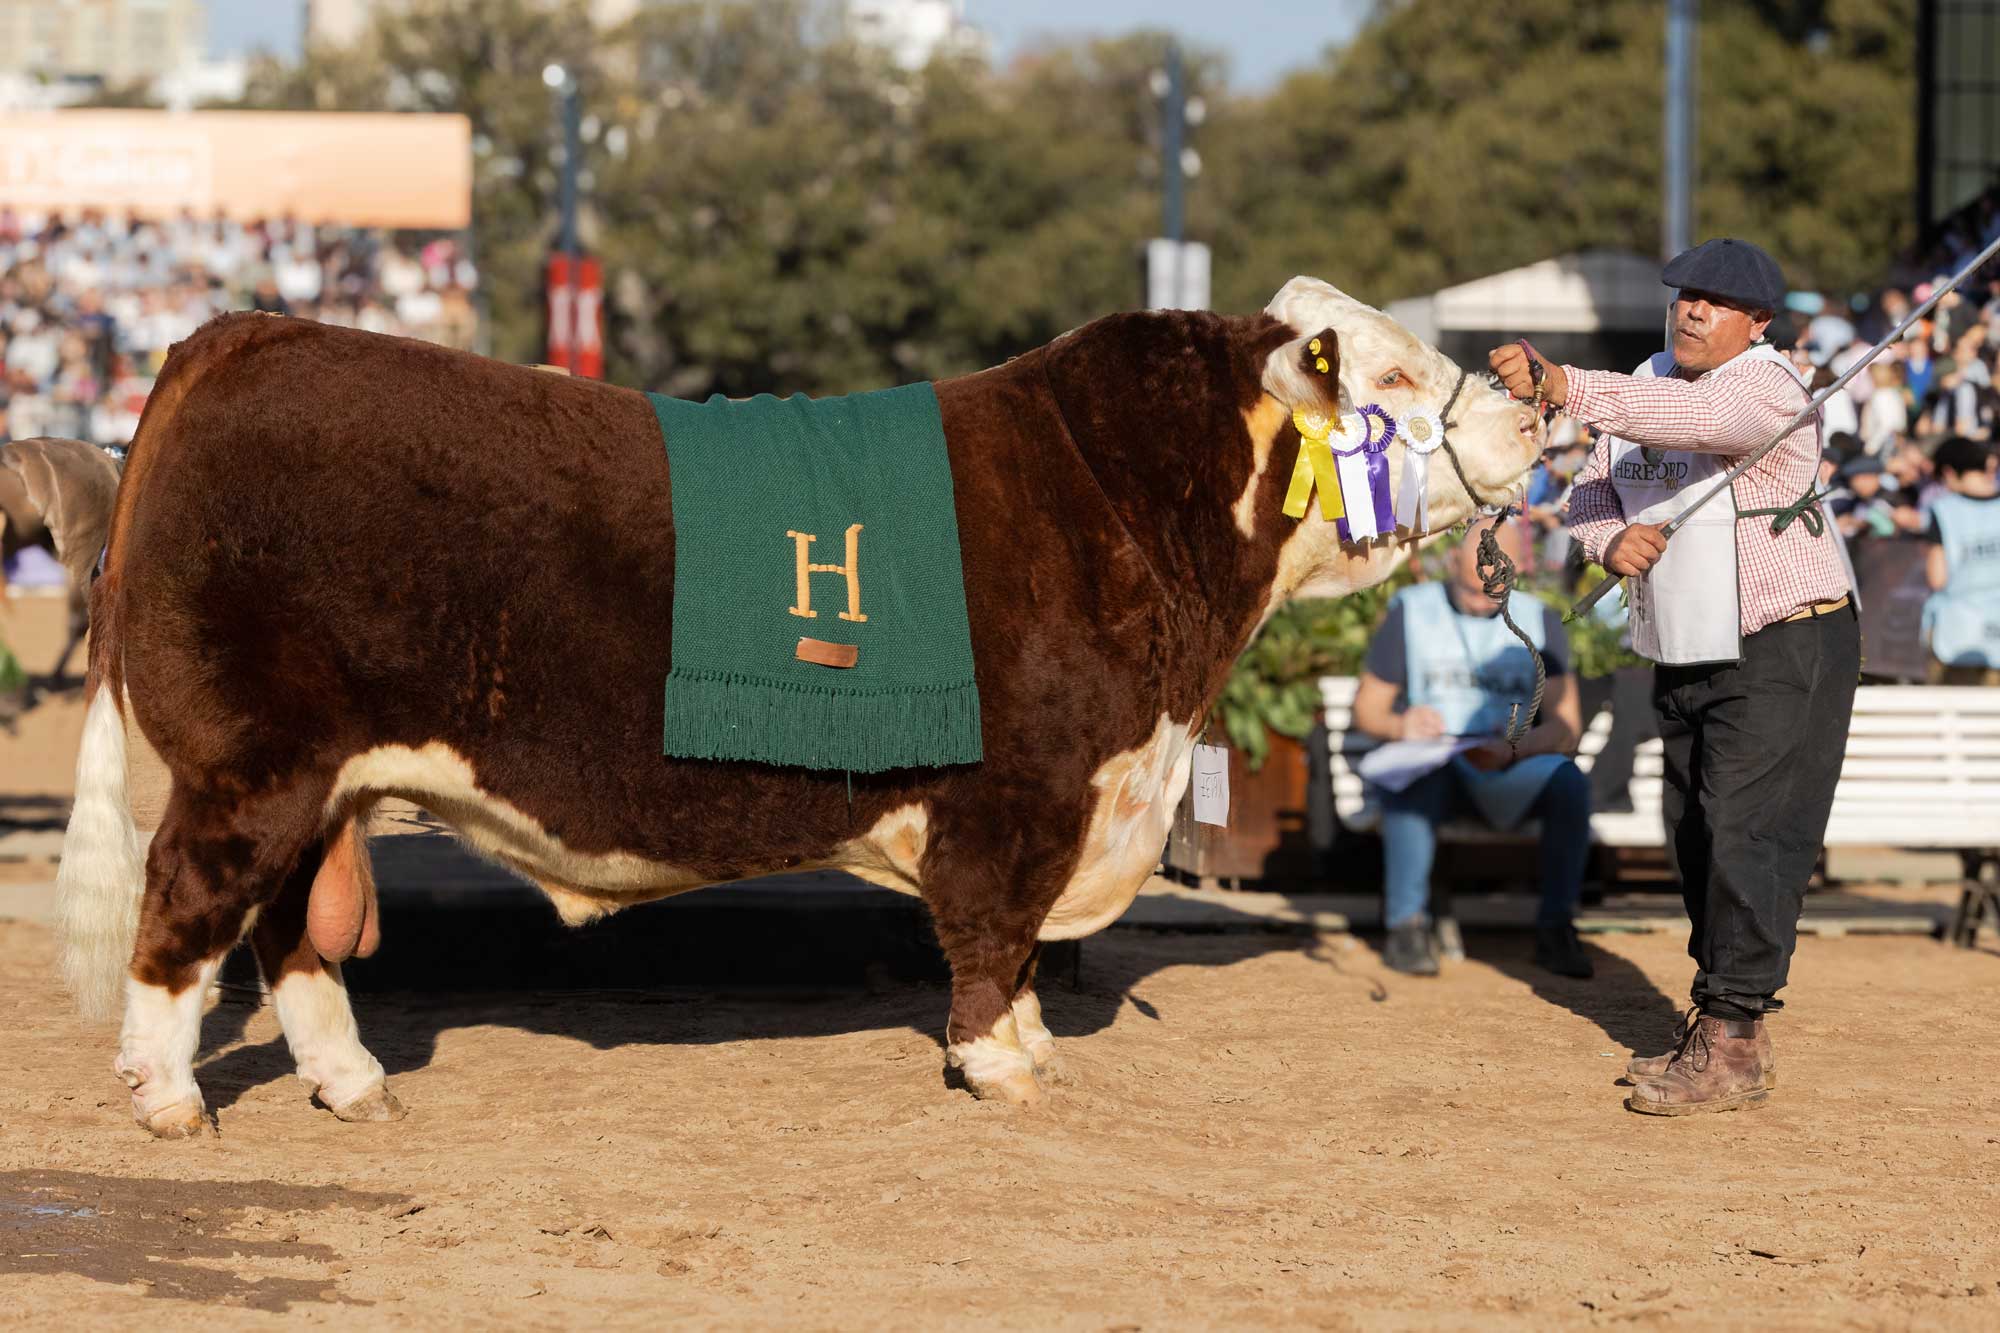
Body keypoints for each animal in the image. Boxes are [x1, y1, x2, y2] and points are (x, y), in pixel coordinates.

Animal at [54, 278, 1536, 1128]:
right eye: (1390, 378)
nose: (1530, 408)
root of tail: (247, 334)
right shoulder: (1022, 792)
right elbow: (990, 937)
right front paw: (1000, 1068)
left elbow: (1019, 951)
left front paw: (1033, 1048)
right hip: (250, 764)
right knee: (186, 911)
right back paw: (170, 1099)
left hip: (317, 778)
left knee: (289, 932)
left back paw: (352, 1083)